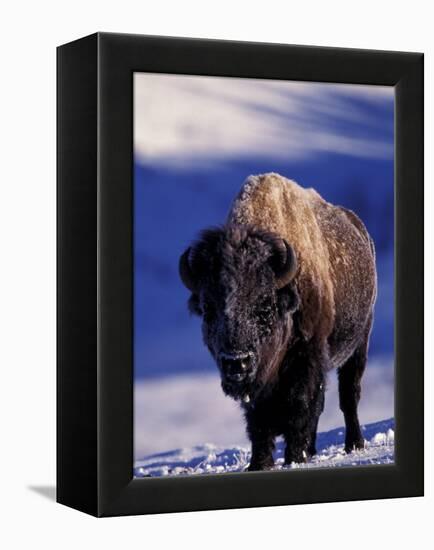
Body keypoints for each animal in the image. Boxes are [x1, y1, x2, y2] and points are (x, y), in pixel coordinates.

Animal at [178, 175, 374, 472]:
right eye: (208, 309)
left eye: (265, 306)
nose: (236, 363)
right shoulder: (258, 386)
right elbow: (259, 421)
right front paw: (259, 464)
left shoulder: (307, 358)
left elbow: (301, 405)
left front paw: (295, 457)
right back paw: (313, 449)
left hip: (359, 344)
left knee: (348, 395)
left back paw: (354, 444)